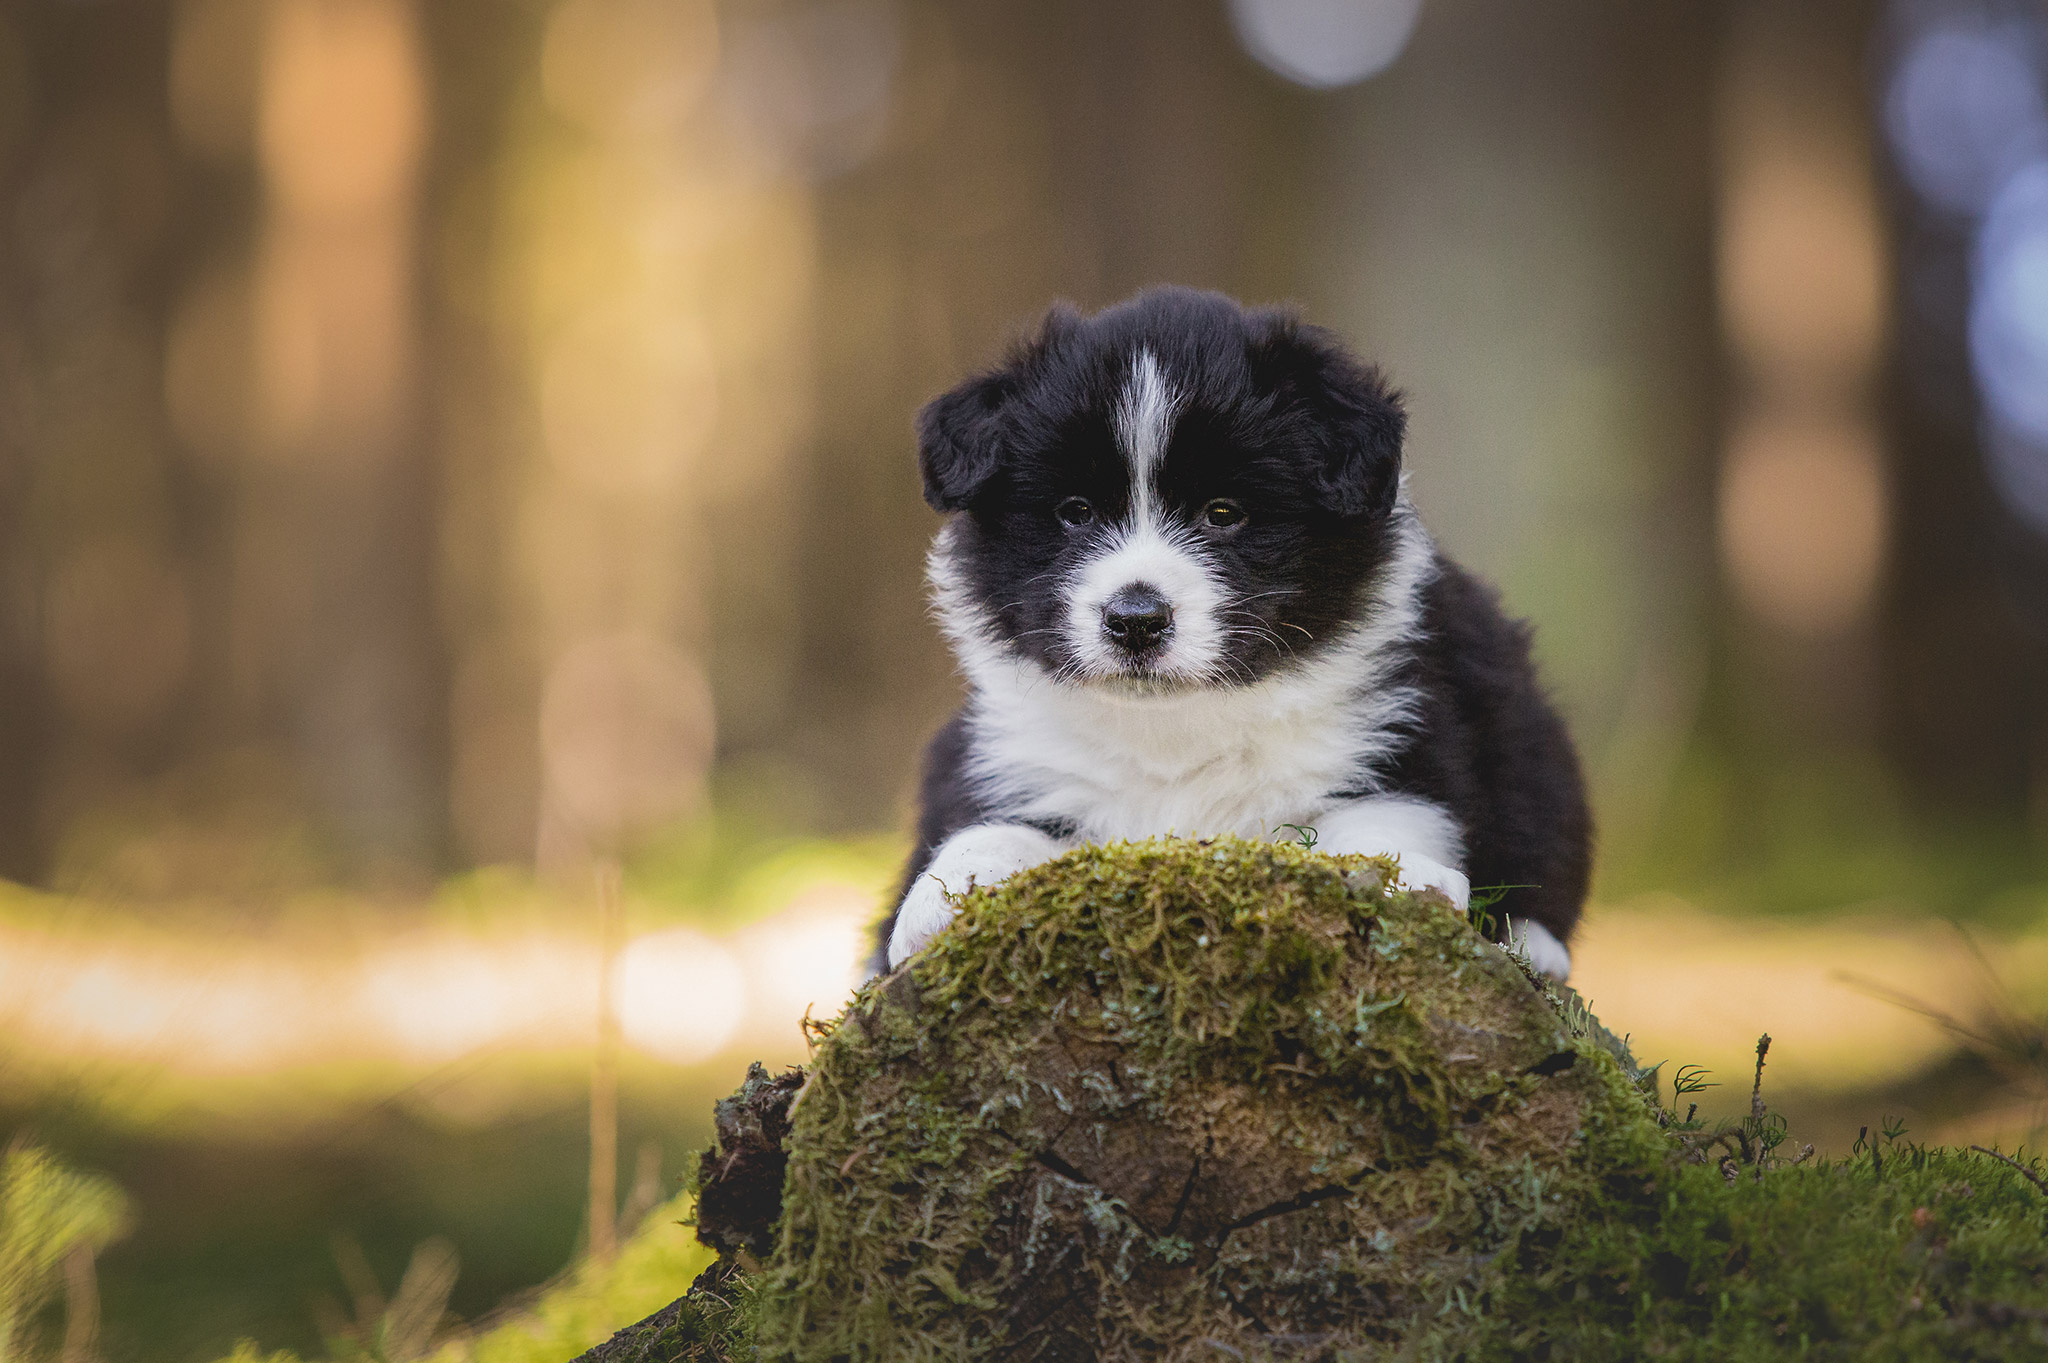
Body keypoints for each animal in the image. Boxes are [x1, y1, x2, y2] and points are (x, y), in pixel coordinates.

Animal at [872, 284, 1589, 978]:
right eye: (1074, 511)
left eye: (1223, 513)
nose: (1136, 620)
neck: (1176, 731)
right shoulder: (1013, 760)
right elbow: (987, 830)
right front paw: (935, 903)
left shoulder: (1404, 732)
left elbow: (1381, 820)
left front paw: (1406, 878)